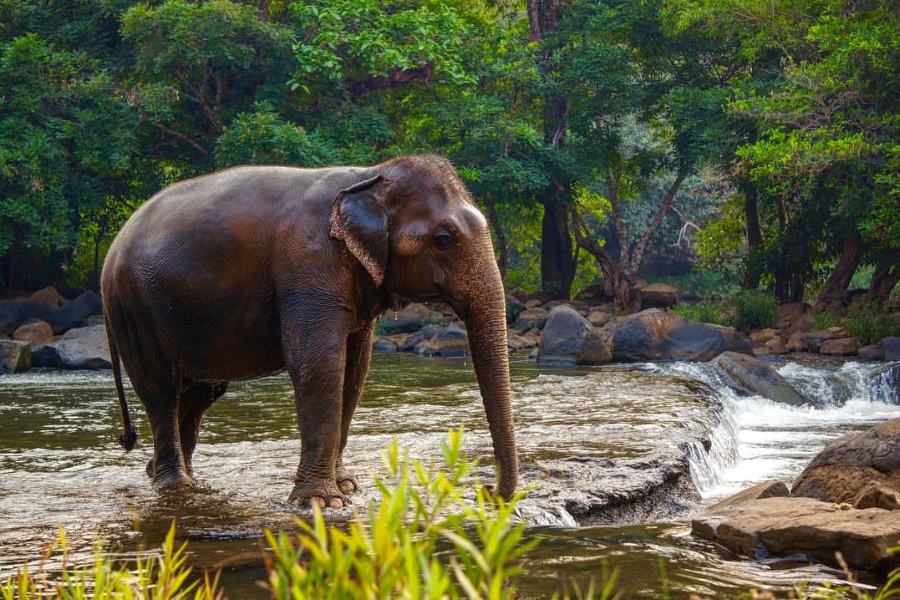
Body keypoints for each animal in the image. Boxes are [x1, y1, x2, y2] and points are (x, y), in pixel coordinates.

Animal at [101, 155, 516, 506]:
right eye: (444, 239)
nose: (486, 492)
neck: (369, 175)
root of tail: (112, 247)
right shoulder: (309, 266)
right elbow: (319, 367)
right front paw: (322, 501)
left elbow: (355, 372)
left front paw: (346, 486)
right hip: (132, 307)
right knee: (161, 390)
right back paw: (175, 486)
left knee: (201, 392)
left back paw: (169, 474)